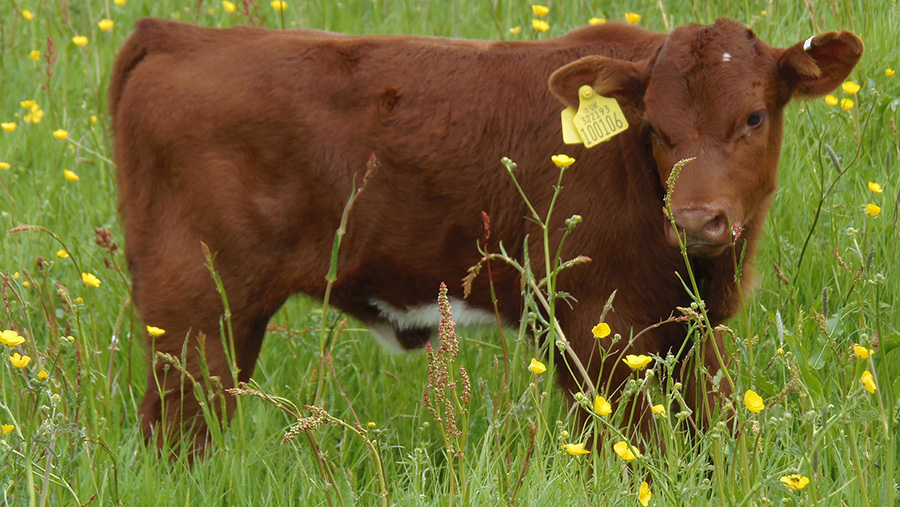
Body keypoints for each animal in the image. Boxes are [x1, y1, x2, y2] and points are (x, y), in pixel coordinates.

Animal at [109, 18, 860, 448]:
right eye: (656, 127)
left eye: (754, 117)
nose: (698, 219)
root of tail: (175, 32)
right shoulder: (597, 327)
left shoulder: (691, 333)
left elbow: (712, 436)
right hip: (196, 313)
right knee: (174, 435)